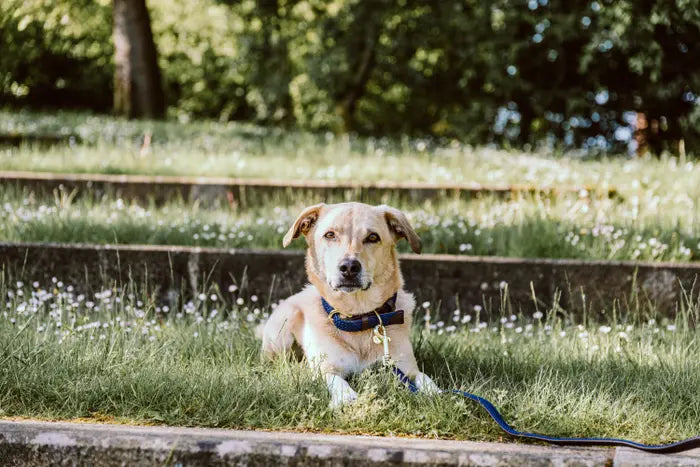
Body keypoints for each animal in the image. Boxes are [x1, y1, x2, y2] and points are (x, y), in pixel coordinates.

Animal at [262, 203, 438, 408]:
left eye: (373, 237)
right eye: (330, 235)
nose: (349, 267)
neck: (358, 317)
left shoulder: (405, 368)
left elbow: (425, 378)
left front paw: (436, 392)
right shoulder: (326, 369)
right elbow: (336, 380)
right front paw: (346, 397)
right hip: (282, 334)